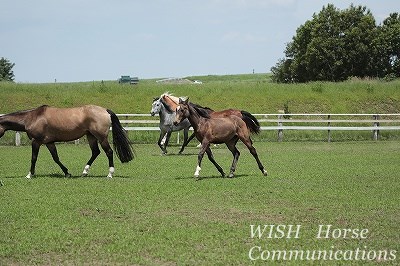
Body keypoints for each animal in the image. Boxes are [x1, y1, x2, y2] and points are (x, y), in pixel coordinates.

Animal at [0, 105, 134, 178]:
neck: (32, 117)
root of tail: (105, 110)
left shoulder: (36, 141)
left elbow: (33, 158)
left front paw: (29, 174)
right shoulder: (49, 143)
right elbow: (56, 158)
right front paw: (67, 173)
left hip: (101, 137)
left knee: (109, 152)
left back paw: (110, 174)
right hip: (91, 136)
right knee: (95, 152)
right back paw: (84, 171)